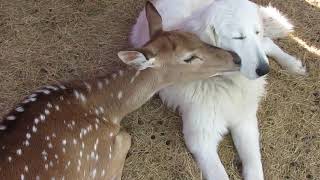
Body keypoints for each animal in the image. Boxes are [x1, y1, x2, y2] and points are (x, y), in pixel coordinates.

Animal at [131, 0, 308, 179]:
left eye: (256, 32)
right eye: (238, 37)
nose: (264, 70)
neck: (223, 82)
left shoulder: (245, 122)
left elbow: (254, 165)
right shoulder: (202, 140)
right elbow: (219, 174)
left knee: (267, 43)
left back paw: (293, 64)